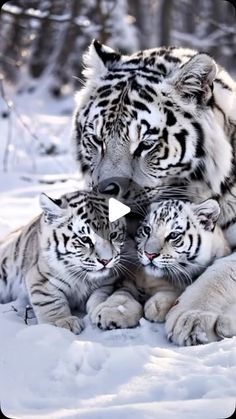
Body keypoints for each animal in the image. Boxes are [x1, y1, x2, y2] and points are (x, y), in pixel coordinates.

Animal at [0, 191, 142, 334]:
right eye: (85, 239)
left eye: (113, 235)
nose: (106, 261)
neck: (84, 278)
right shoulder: (41, 279)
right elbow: (51, 301)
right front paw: (63, 322)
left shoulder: (107, 283)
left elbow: (104, 296)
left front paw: (107, 312)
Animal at [73, 41, 236, 346]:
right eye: (97, 140)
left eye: (146, 144)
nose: (104, 190)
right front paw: (113, 304)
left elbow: (221, 270)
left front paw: (193, 316)